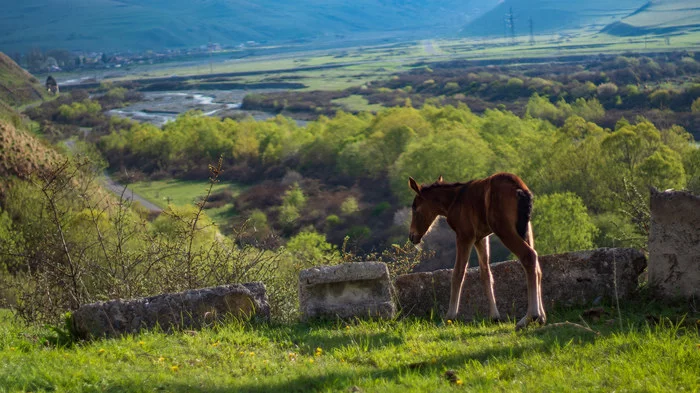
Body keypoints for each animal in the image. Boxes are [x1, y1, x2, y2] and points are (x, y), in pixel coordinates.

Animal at [410, 173, 548, 330]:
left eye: (414, 208)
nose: (412, 236)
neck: (454, 200)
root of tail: (520, 189)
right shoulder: (480, 238)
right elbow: (485, 273)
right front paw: (494, 317)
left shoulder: (465, 236)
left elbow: (458, 273)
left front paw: (449, 317)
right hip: (526, 229)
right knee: (536, 265)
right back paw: (541, 317)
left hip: (504, 230)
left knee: (528, 256)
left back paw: (530, 317)